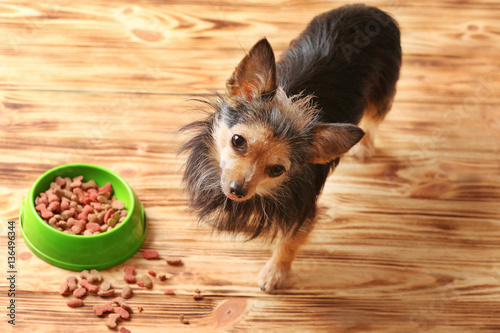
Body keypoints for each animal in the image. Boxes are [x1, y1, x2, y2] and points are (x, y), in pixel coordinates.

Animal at [182, 3, 400, 292]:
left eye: (277, 170)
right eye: (238, 141)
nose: (238, 191)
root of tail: (370, 8)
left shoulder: (303, 214)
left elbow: (288, 245)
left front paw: (274, 274)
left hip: (383, 91)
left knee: (375, 120)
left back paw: (364, 148)